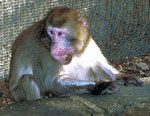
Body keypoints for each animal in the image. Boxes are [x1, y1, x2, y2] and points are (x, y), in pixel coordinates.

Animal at [8, 6, 142, 101]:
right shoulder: (40, 49)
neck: (76, 50)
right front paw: (99, 86)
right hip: (18, 95)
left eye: (60, 33)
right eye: (51, 32)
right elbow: (50, 82)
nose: (54, 46)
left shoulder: (88, 41)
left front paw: (123, 76)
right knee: (27, 79)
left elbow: (98, 64)